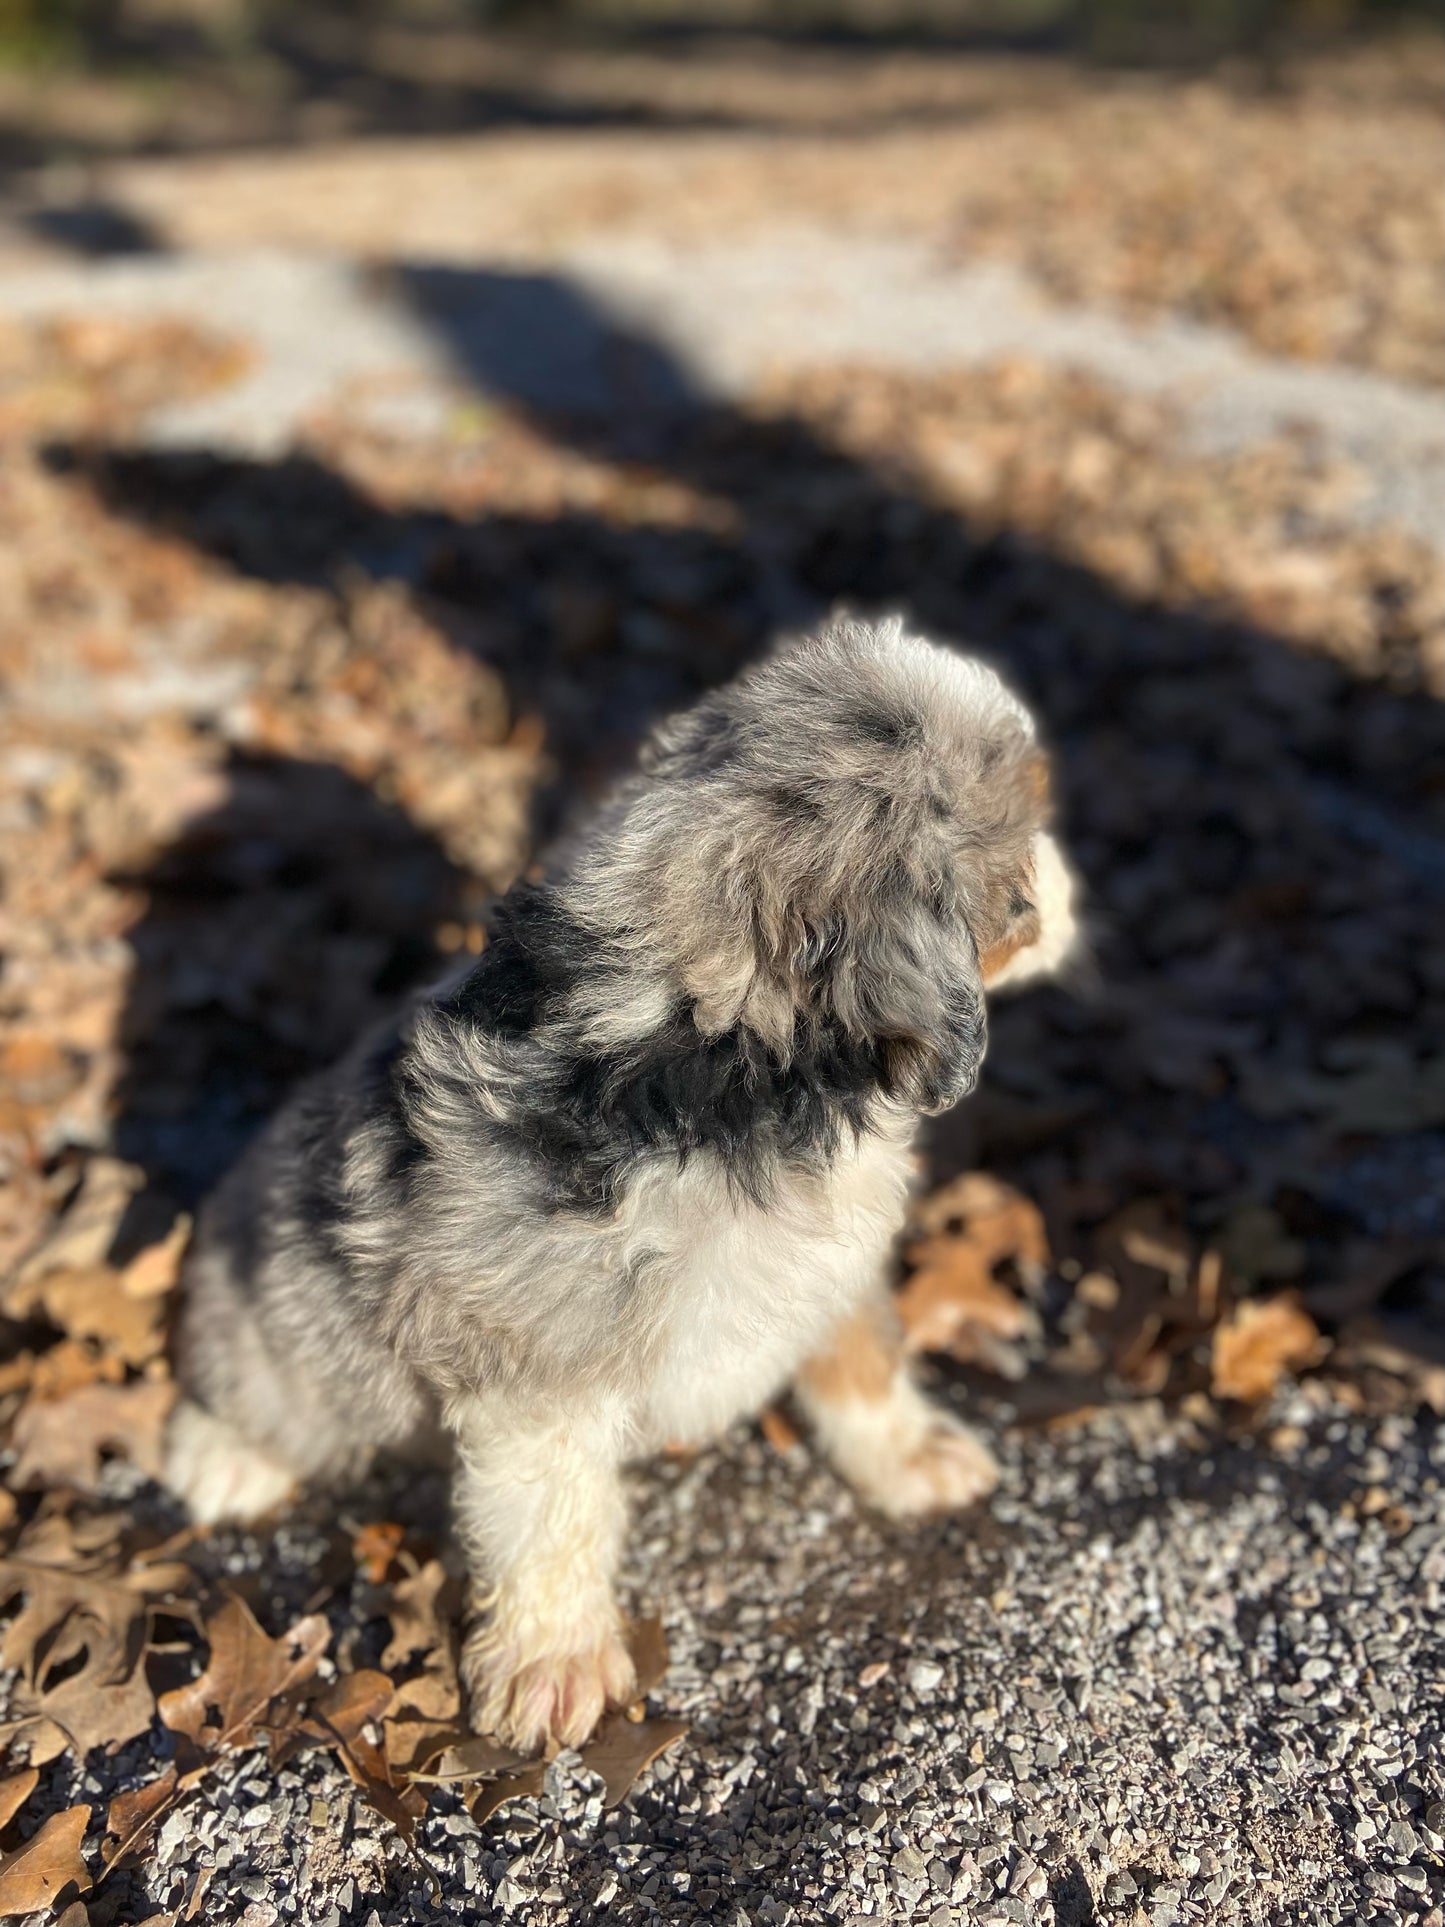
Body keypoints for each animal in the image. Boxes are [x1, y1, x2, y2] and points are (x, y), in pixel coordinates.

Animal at [166, 612, 1078, 1749]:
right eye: (1019, 878)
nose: (1071, 888)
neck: (719, 1056)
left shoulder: (837, 1265)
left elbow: (862, 1358)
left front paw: (910, 1458)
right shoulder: (535, 1362)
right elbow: (554, 1514)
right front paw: (554, 1664)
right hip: (271, 1310)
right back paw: (224, 1455)